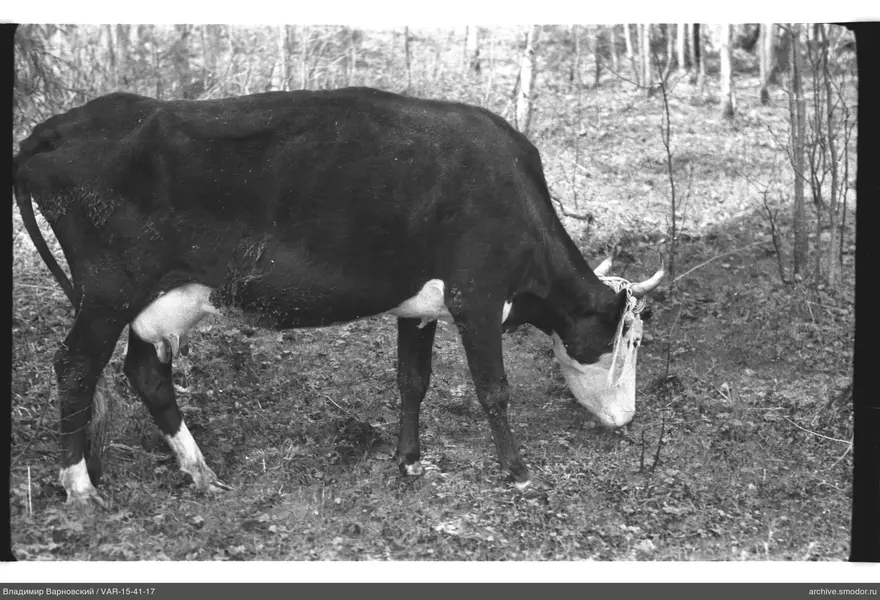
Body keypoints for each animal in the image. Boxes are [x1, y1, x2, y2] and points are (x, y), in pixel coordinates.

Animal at [13, 87, 663, 504]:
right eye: (629, 337)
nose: (627, 419)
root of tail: (62, 124)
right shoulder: (476, 296)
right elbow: (493, 389)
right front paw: (517, 471)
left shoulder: (419, 306)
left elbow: (412, 380)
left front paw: (409, 461)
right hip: (107, 292)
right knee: (75, 366)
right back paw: (80, 487)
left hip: (154, 299)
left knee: (145, 371)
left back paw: (199, 472)